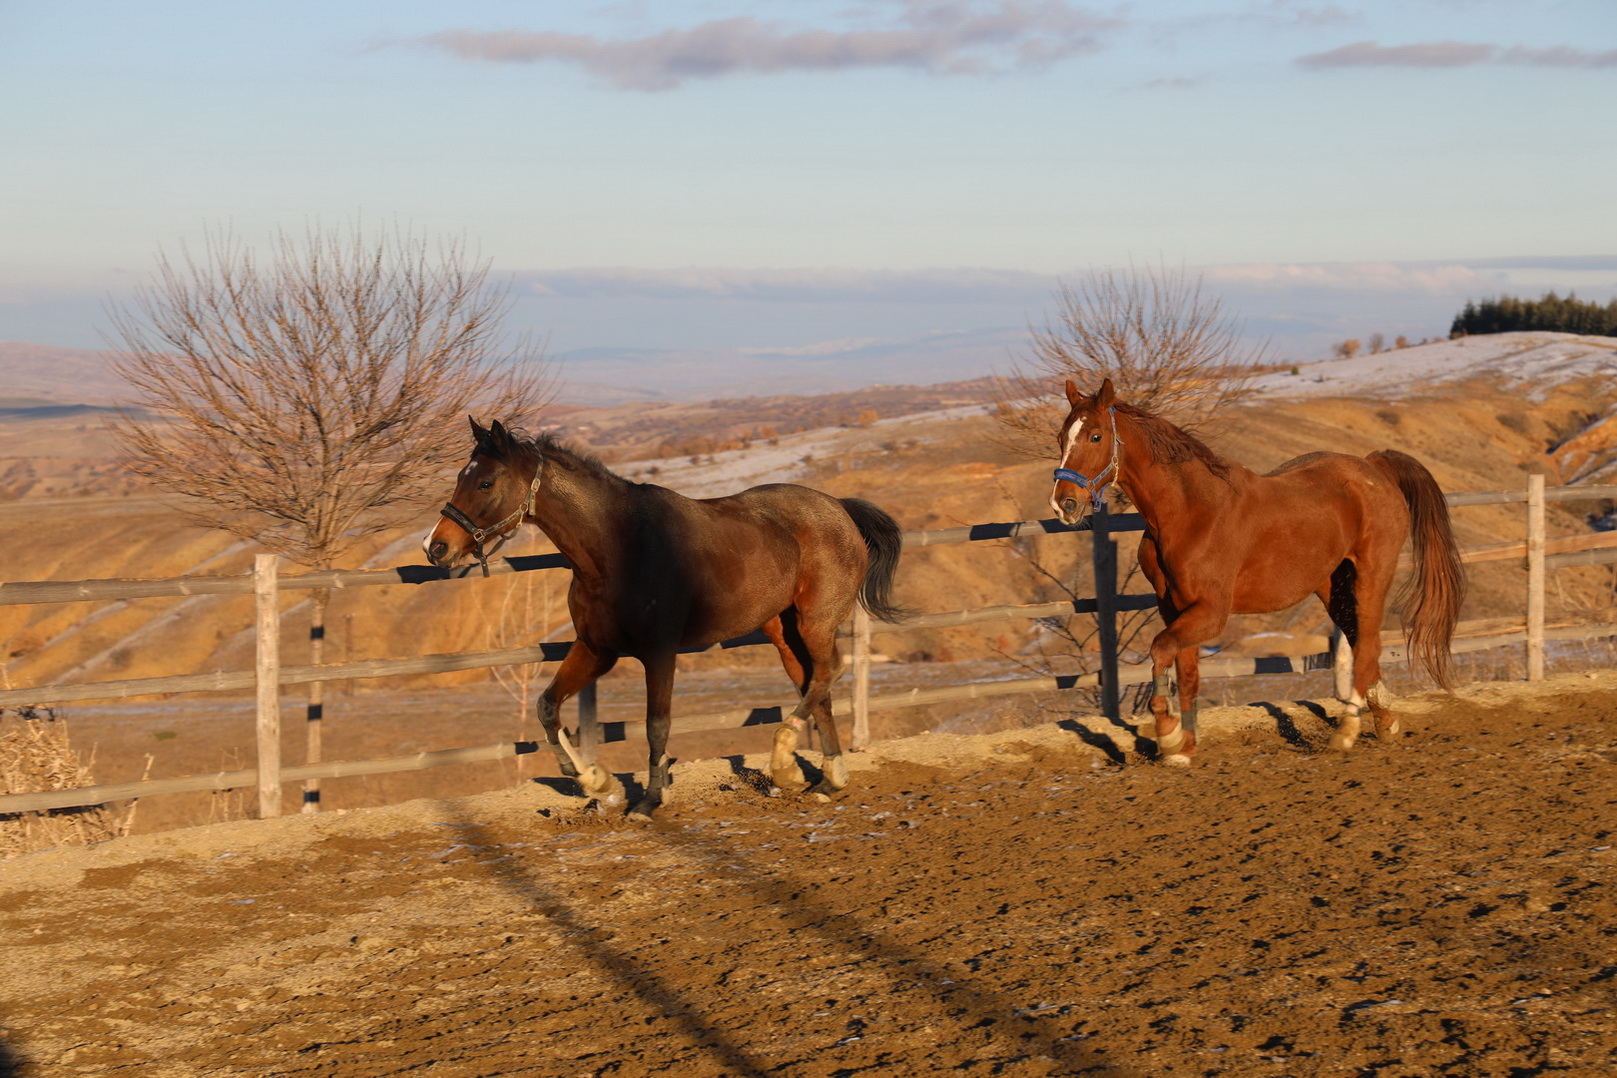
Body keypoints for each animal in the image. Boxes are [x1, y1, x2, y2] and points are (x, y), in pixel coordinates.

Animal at [425, 418, 906, 816]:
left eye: (485, 482)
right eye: (461, 477)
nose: (436, 547)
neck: (617, 549)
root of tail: (838, 508)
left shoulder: (658, 654)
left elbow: (656, 726)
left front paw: (650, 800)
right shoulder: (596, 650)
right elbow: (547, 707)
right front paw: (596, 783)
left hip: (815, 622)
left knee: (829, 671)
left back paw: (787, 760)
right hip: (781, 630)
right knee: (814, 685)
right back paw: (825, 779)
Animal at [1050, 378, 1464, 763]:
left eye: (1096, 435)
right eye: (1060, 436)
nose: (1063, 504)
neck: (1188, 513)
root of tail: (1374, 467)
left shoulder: (1211, 612)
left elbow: (1161, 648)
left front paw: (1167, 736)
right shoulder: (1175, 608)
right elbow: (1187, 674)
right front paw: (1184, 749)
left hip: (1372, 575)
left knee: (1369, 645)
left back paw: (1347, 732)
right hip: (1333, 586)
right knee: (1361, 639)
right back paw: (1386, 722)